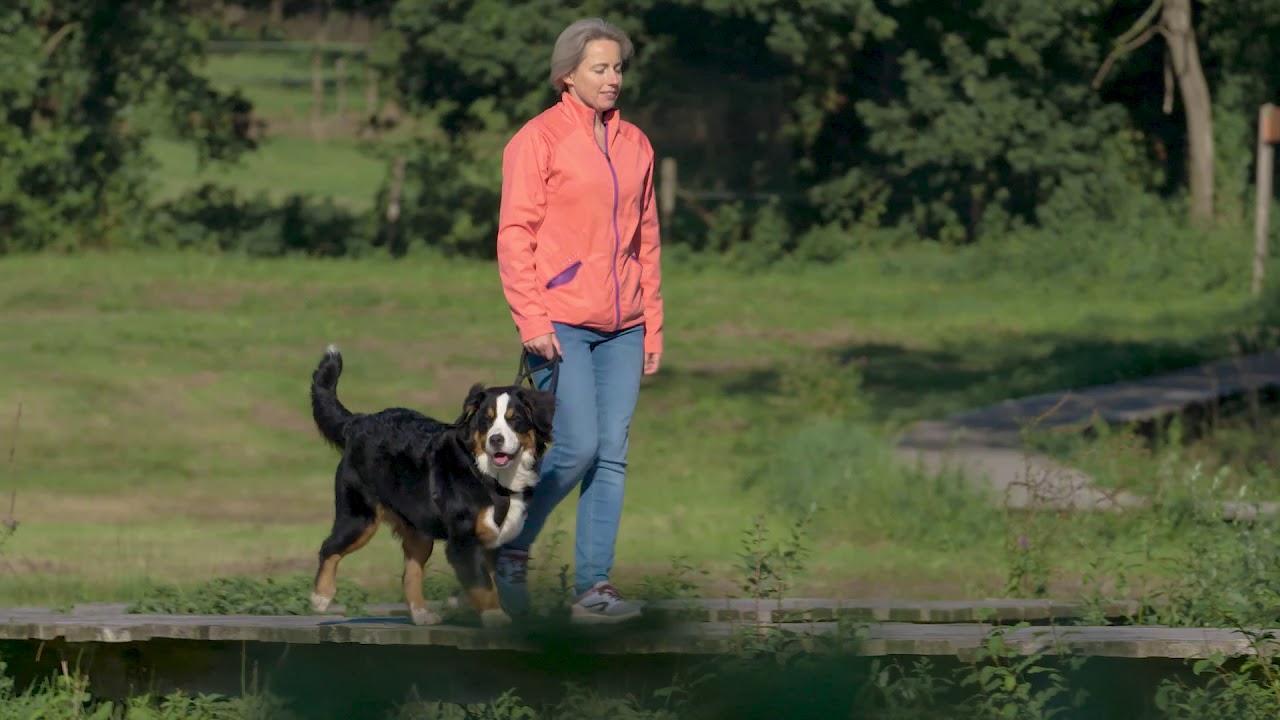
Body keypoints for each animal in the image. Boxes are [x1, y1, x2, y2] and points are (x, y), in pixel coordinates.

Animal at [309, 345, 555, 625]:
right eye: (486, 420)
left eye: (515, 420)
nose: (496, 440)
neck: (491, 477)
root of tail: (360, 421)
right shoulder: (463, 539)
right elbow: (483, 584)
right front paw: (495, 616)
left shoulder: (491, 540)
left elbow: (484, 581)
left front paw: (464, 603)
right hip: (360, 518)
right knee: (329, 547)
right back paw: (321, 596)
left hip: (418, 530)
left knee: (410, 573)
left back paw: (421, 613)